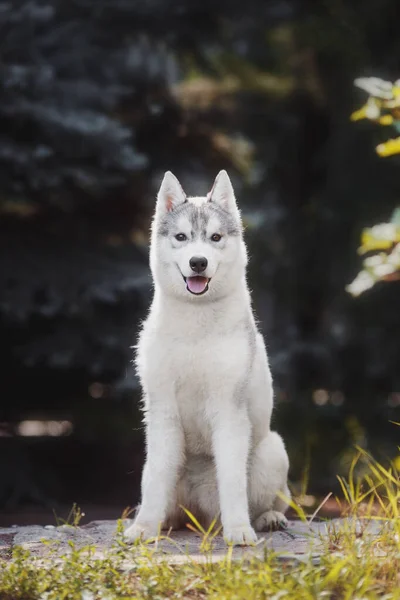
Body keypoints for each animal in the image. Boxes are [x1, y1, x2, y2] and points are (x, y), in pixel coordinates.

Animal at [125, 170, 290, 548]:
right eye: (181, 237)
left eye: (215, 237)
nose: (197, 262)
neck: (196, 326)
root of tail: (199, 517)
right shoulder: (162, 412)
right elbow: (156, 480)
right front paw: (144, 528)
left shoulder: (229, 411)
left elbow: (232, 482)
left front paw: (239, 529)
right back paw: (164, 523)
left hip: (274, 451)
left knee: (268, 501)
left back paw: (266, 518)